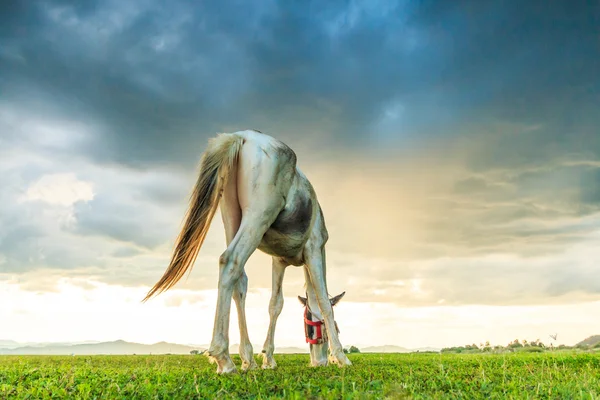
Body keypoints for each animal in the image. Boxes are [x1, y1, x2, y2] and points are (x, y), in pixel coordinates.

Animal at [142, 130, 350, 374]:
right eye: (334, 327)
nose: (320, 361)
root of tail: (241, 136)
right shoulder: (315, 250)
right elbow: (323, 300)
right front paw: (341, 357)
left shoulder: (278, 261)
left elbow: (275, 304)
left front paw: (268, 358)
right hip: (257, 218)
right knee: (231, 260)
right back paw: (223, 357)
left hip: (232, 217)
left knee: (238, 280)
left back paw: (247, 358)